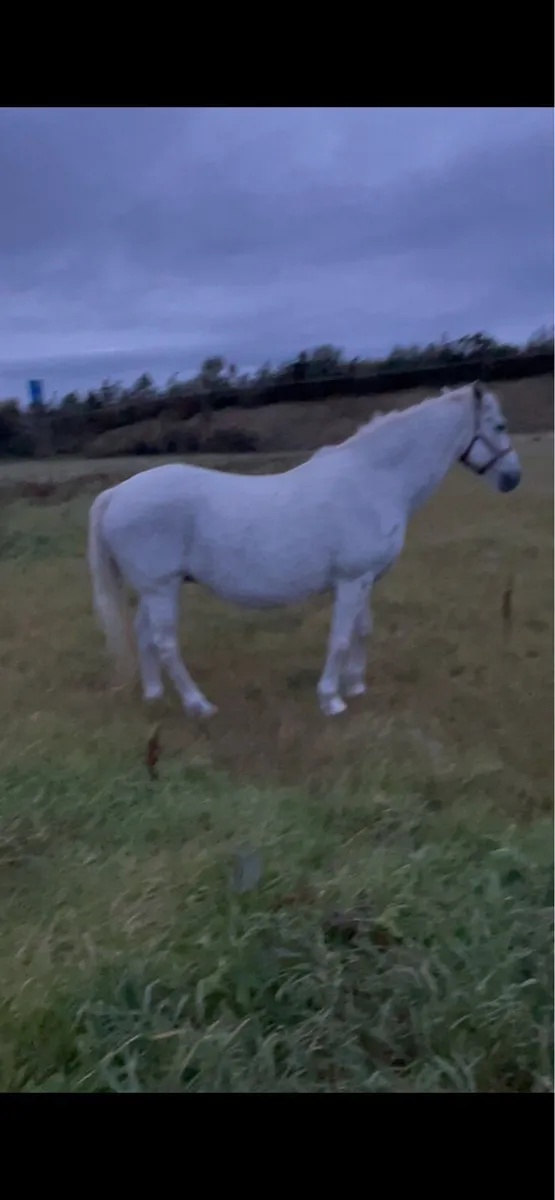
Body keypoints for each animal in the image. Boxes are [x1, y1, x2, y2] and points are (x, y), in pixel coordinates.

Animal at [88, 381, 521, 718]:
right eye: (499, 425)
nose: (514, 478)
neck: (373, 478)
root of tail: (117, 493)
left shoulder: (365, 579)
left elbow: (362, 630)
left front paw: (356, 686)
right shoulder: (350, 580)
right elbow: (341, 637)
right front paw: (331, 699)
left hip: (155, 589)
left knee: (144, 636)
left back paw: (155, 696)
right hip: (162, 589)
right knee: (165, 643)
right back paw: (198, 705)